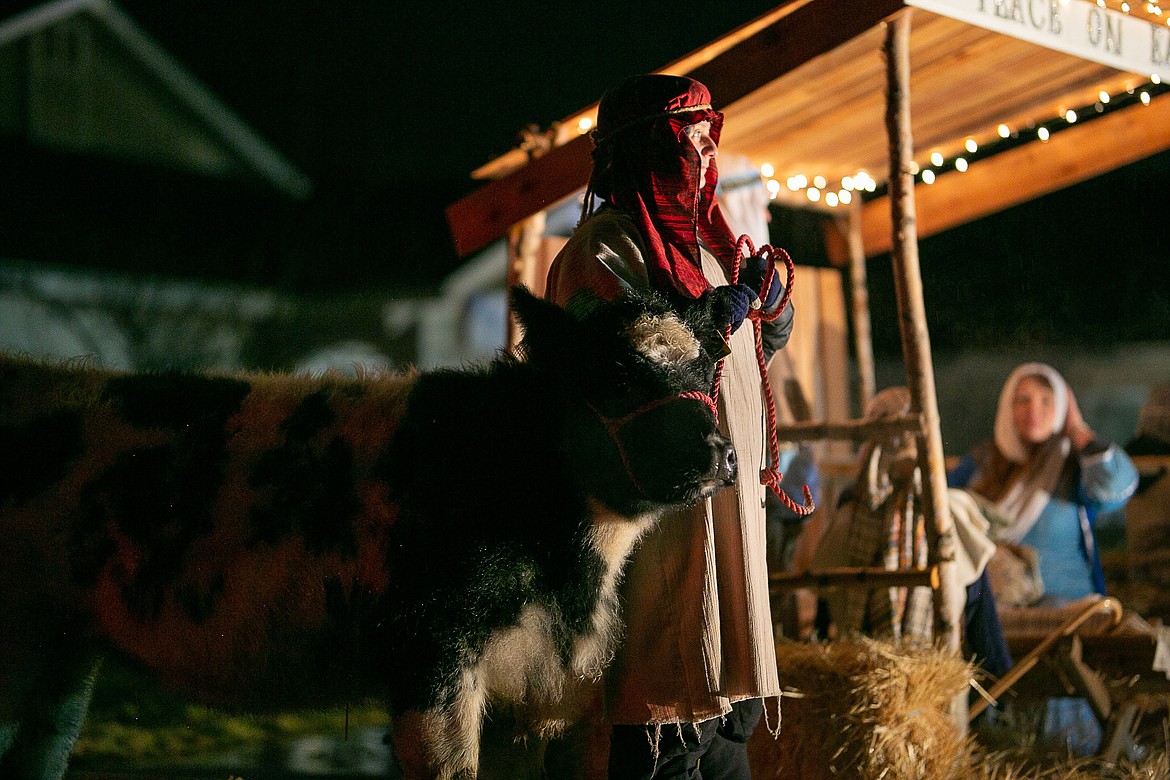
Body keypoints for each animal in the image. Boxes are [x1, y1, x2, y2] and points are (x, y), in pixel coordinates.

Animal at [0, 288, 734, 780]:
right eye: (616, 376)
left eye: (708, 371)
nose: (720, 454)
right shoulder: (428, 651)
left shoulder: (555, 691)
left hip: (61, 654)